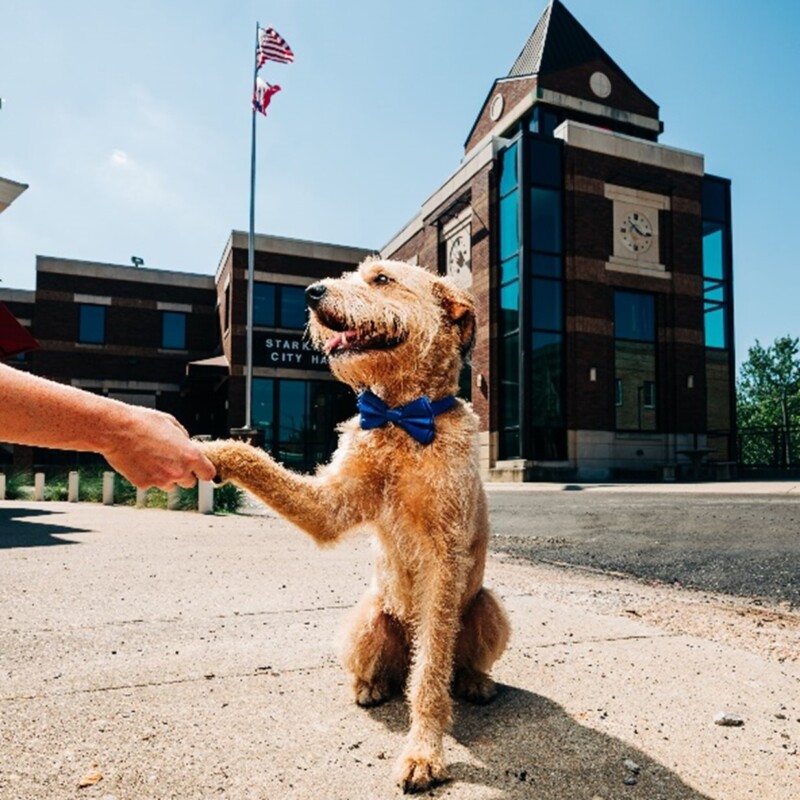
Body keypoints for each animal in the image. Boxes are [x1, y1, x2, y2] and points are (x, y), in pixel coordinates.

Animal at [203, 260, 510, 792]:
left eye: (382, 279)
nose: (311, 292)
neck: (400, 418)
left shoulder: (444, 559)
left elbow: (430, 672)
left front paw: (423, 754)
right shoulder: (331, 504)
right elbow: (260, 462)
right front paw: (210, 450)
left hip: (486, 607)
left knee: (447, 664)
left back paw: (475, 681)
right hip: (366, 619)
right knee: (385, 670)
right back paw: (369, 686)